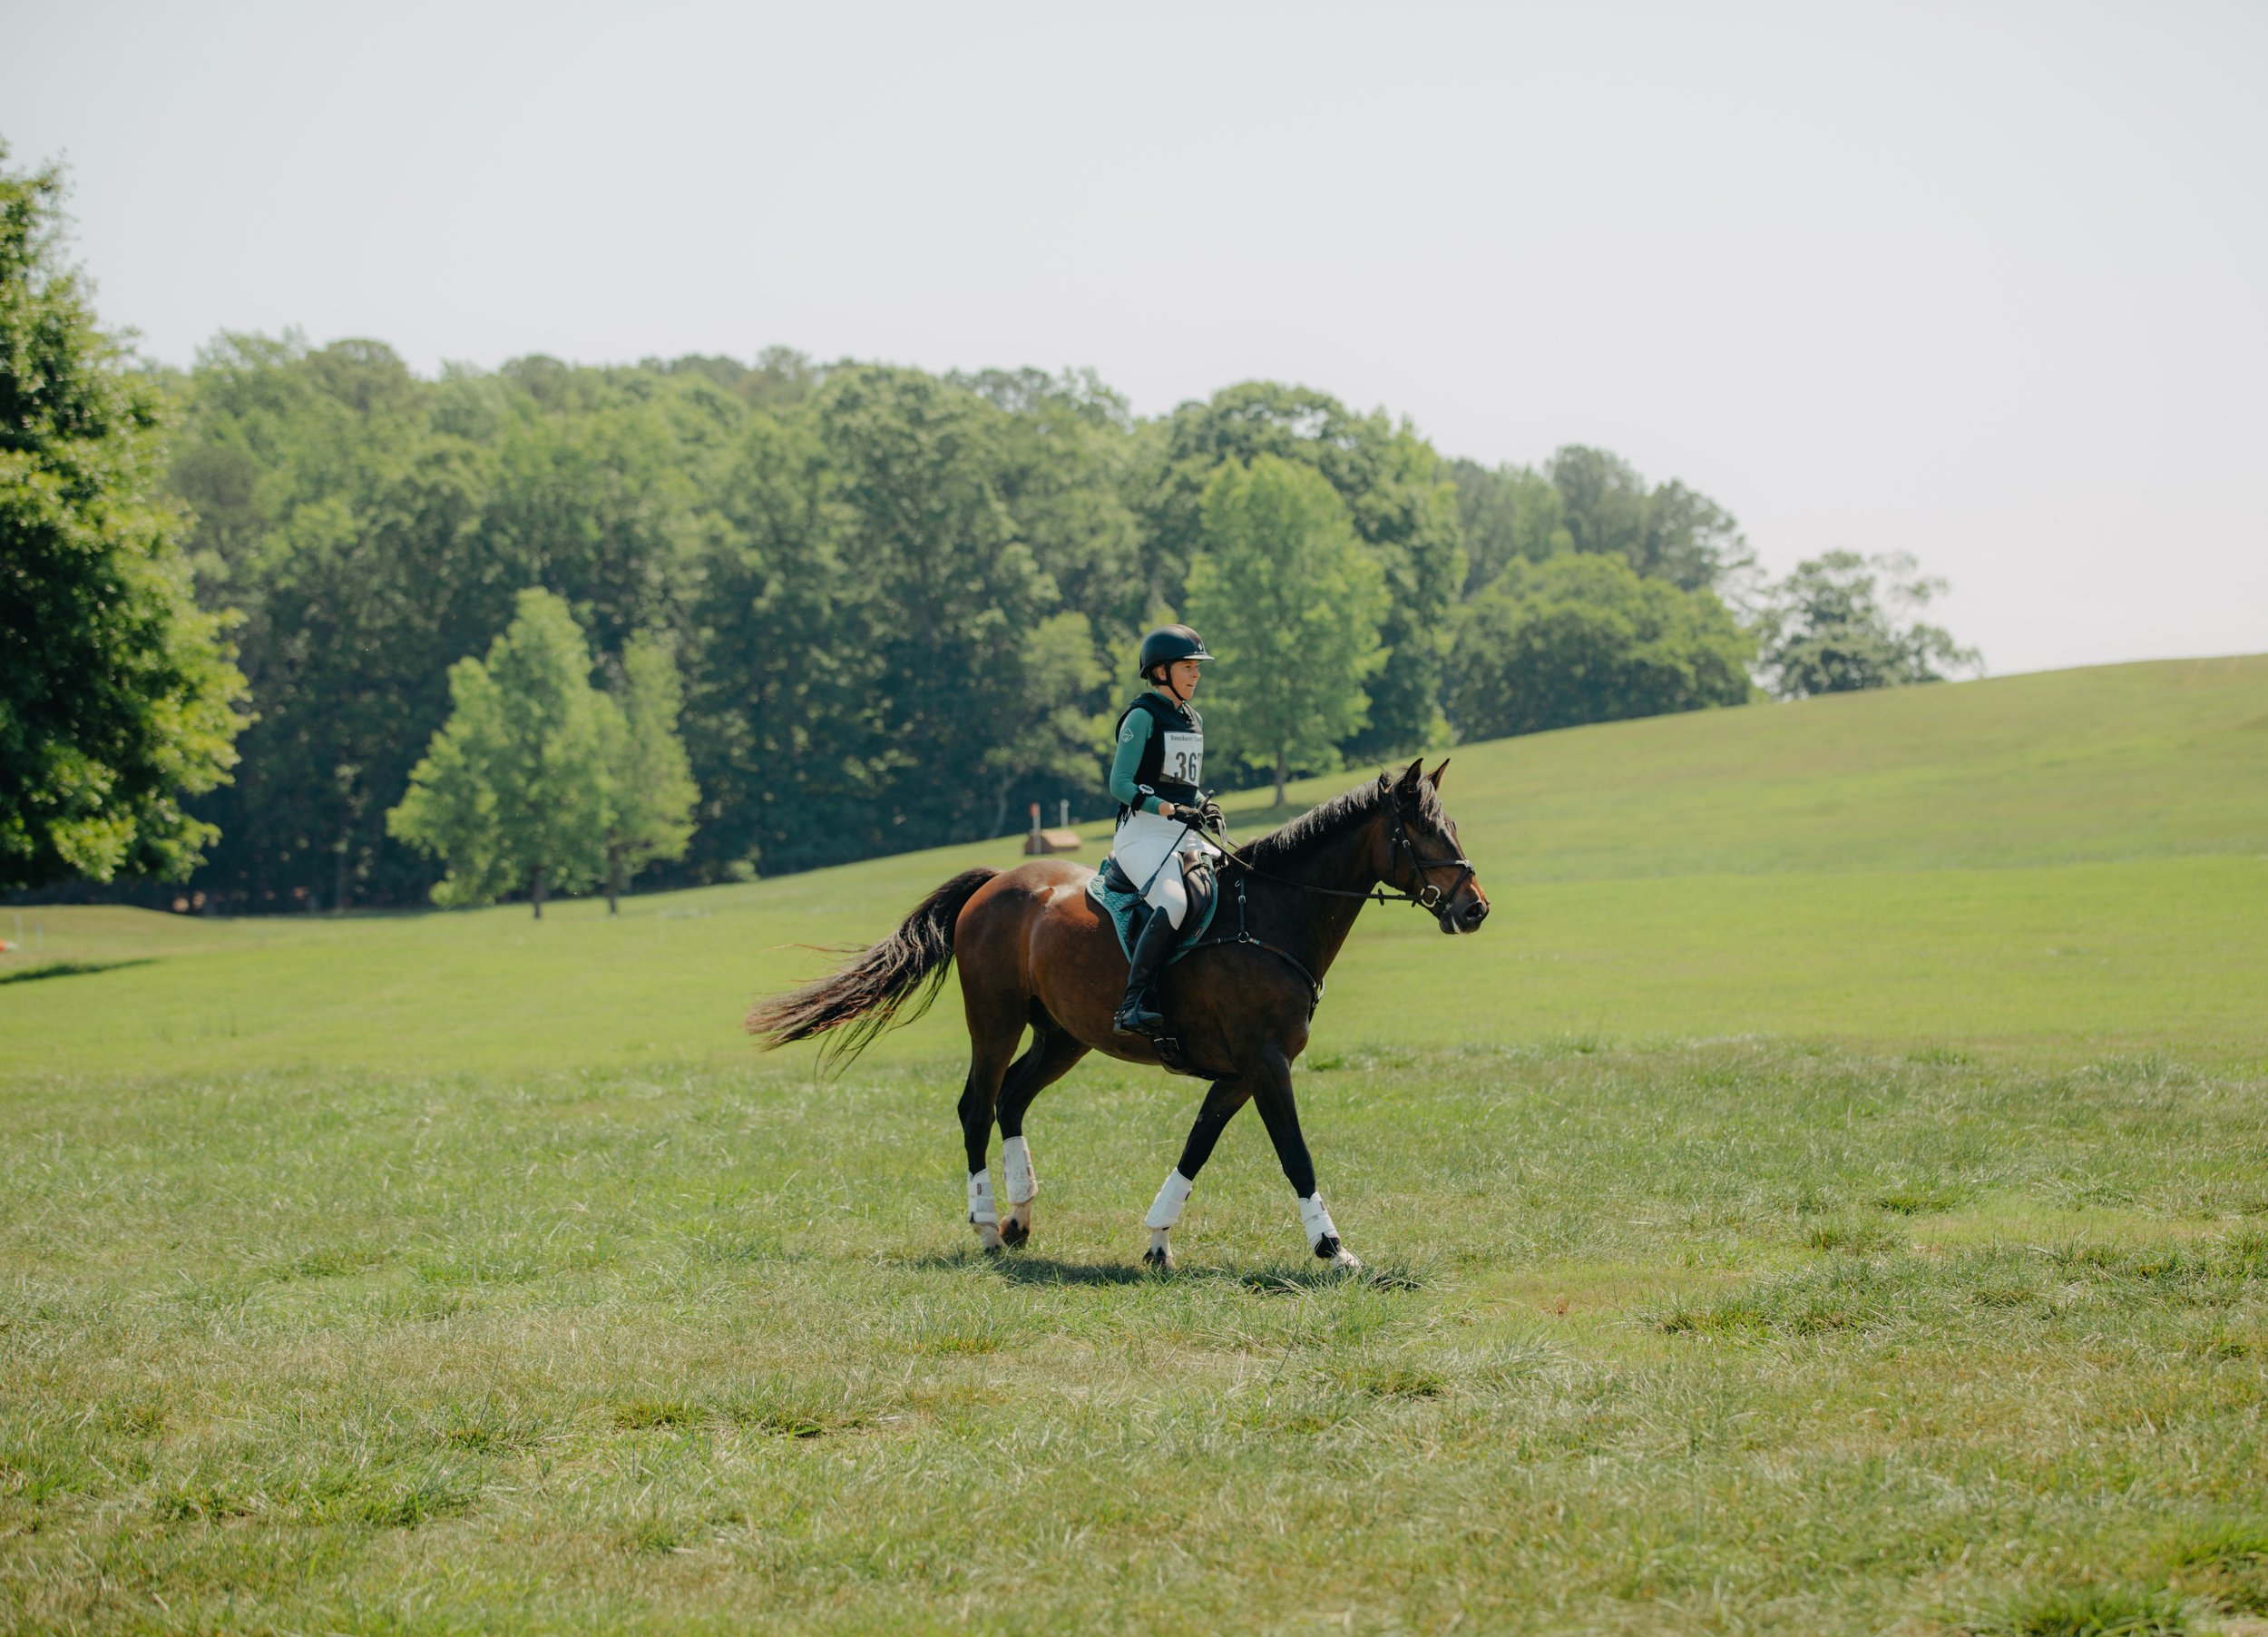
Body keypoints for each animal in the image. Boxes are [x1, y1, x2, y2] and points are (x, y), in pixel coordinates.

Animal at [745, 758, 1490, 1269]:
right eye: (1422, 832)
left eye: (1451, 827)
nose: (1475, 908)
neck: (1273, 916)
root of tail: (996, 882)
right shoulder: (1265, 1063)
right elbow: (1295, 1154)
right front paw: (1335, 1250)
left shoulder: (1240, 1073)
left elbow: (1197, 1147)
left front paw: (1158, 1239)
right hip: (995, 1019)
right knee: (977, 1104)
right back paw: (986, 1224)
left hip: (1064, 1035)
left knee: (1012, 1099)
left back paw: (1019, 1218)